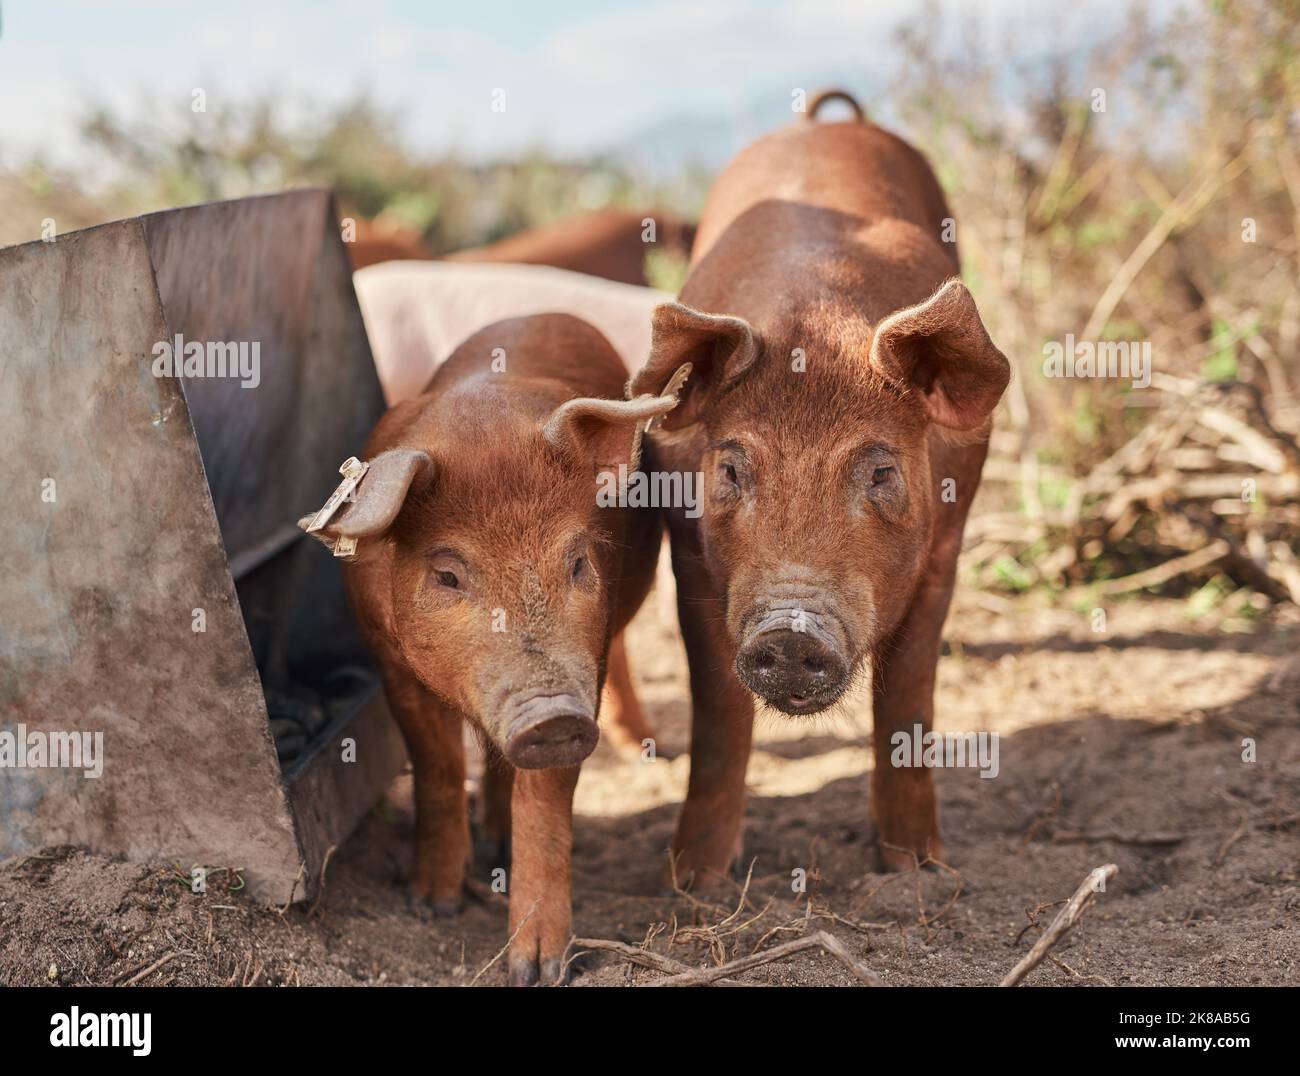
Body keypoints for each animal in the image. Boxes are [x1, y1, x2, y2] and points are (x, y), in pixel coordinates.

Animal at [301, 312, 680, 984]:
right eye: (448, 575)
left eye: (577, 562)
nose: (550, 713)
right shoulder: (389, 664)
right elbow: (437, 763)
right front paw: (433, 906)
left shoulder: (587, 664)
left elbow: (545, 798)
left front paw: (538, 969)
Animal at [628, 89, 1011, 883]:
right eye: (731, 469)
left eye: (882, 470)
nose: (790, 627)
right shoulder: (689, 557)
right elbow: (717, 711)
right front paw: (693, 881)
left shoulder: (947, 545)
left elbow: (908, 696)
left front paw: (915, 868)